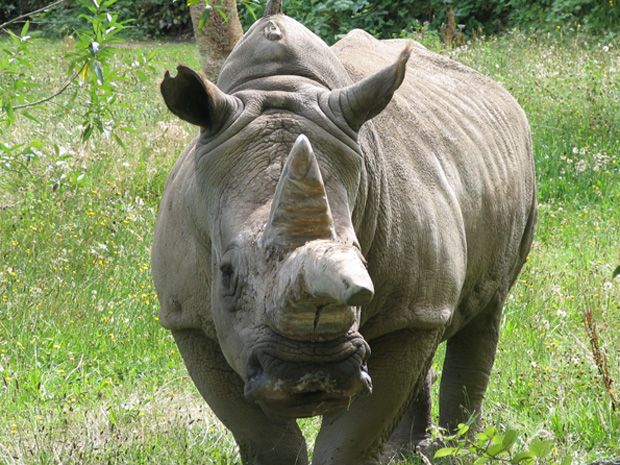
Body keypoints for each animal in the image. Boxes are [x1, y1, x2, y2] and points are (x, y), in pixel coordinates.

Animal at [151, 1, 536, 462]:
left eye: (362, 263)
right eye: (225, 273)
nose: (312, 376)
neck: (280, 86)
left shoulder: (407, 319)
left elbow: (352, 437)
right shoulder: (187, 318)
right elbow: (264, 436)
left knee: (485, 309)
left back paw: (460, 449)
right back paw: (410, 451)